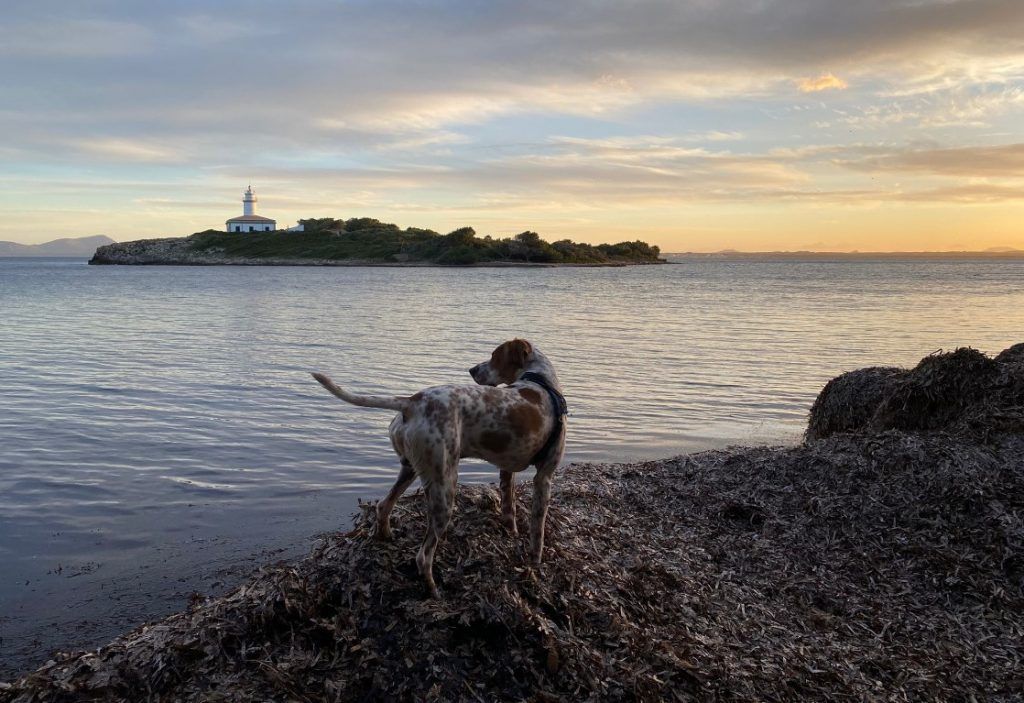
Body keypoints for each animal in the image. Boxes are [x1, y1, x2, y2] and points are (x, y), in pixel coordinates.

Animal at [311, 337, 569, 597]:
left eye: (494, 356)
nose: (472, 370)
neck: (540, 381)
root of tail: (411, 402)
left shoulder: (507, 471)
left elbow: (510, 510)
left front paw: (512, 535)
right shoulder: (544, 478)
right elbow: (538, 531)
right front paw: (535, 565)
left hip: (411, 470)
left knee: (383, 506)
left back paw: (385, 537)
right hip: (445, 487)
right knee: (423, 556)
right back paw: (434, 591)